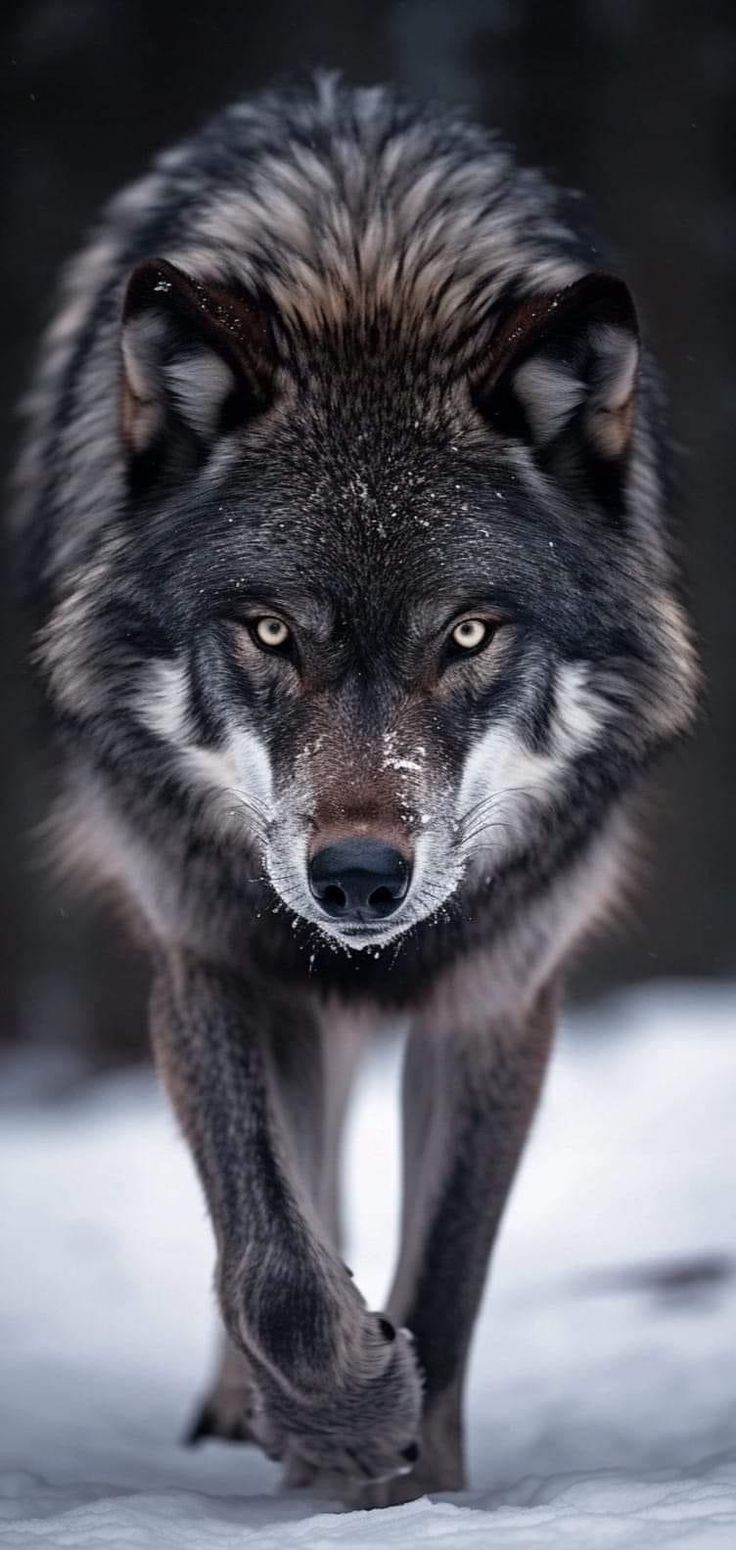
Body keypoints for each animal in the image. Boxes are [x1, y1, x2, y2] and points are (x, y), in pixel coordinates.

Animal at [14, 78, 700, 1506]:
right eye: (272, 632)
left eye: (469, 634)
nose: (360, 878)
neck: (368, 274)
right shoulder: (215, 951)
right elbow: (272, 1259)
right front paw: (337, 1420)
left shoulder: (499, 994)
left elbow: (446, 1275)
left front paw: (413, 1471)